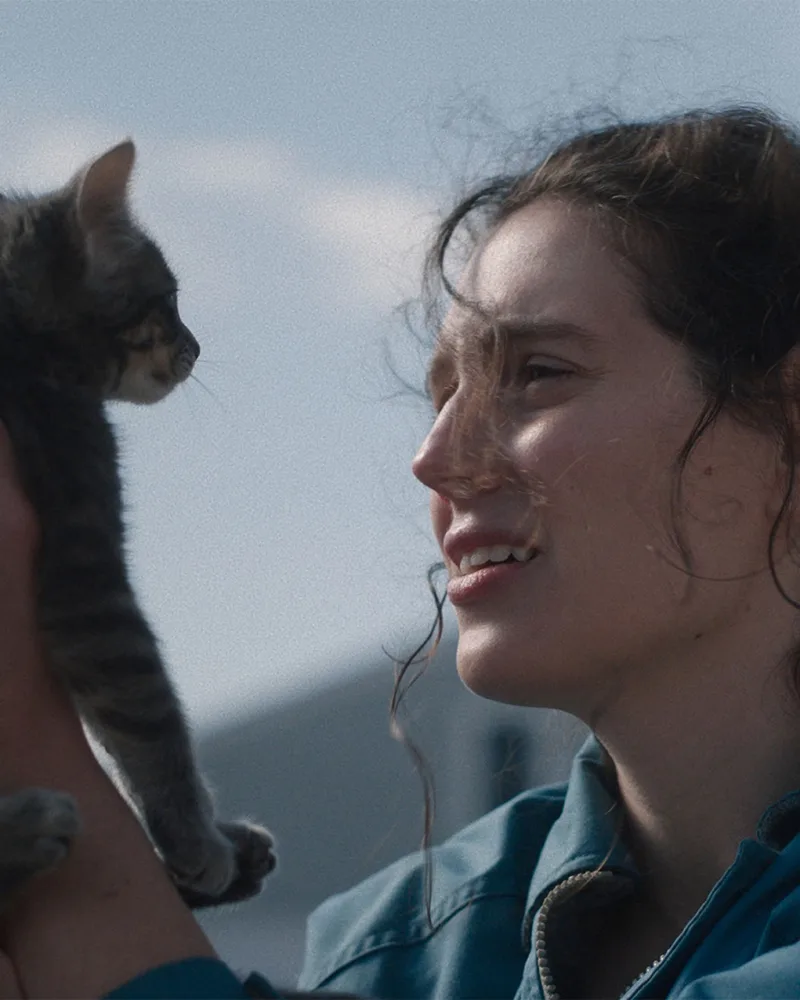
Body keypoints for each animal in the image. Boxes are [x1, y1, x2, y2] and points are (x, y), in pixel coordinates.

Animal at [0, 139, 275, 909]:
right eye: (171, 300)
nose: (198, 346)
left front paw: (209, 844)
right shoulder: (86, 575)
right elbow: (151, 711)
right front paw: (196, 837)